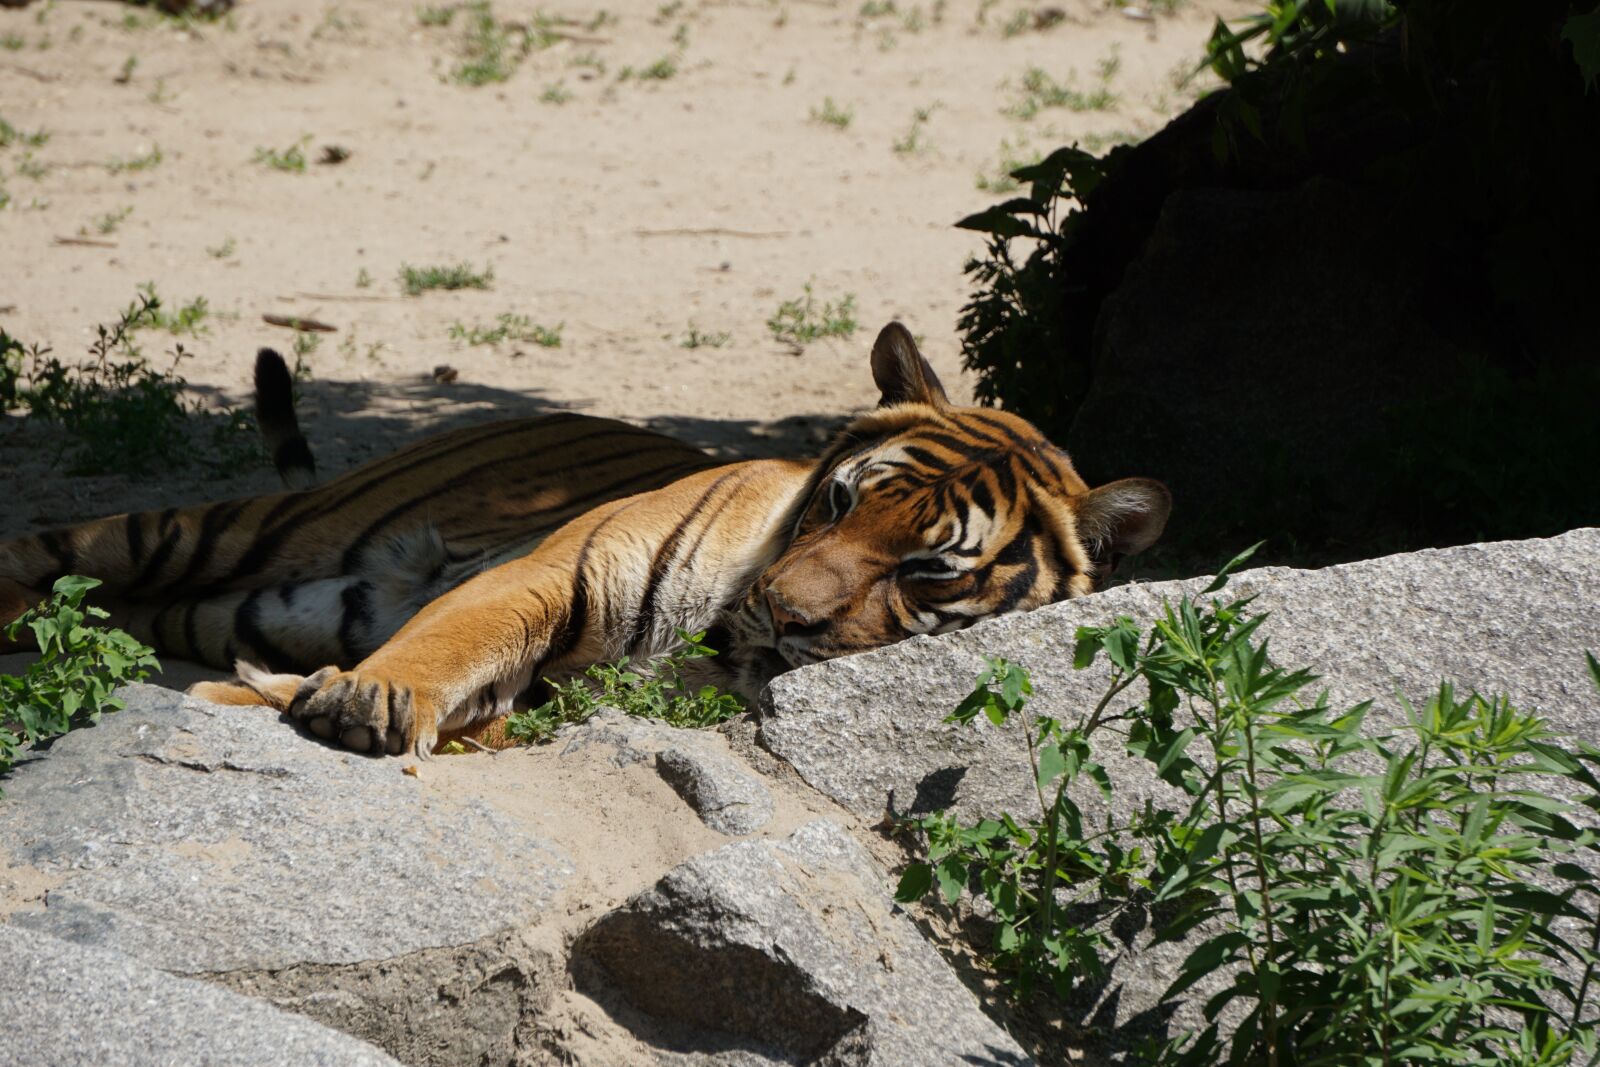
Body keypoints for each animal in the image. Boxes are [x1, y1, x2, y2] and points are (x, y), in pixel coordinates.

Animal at [0, 323, 1171, 758]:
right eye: (840, 502)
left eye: (927, 568)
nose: (782, 614)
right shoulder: (548, 567)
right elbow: (450, 641)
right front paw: (367, 699)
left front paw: (287, 695)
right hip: (212, 532)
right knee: (38, 550)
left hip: (243, 598)